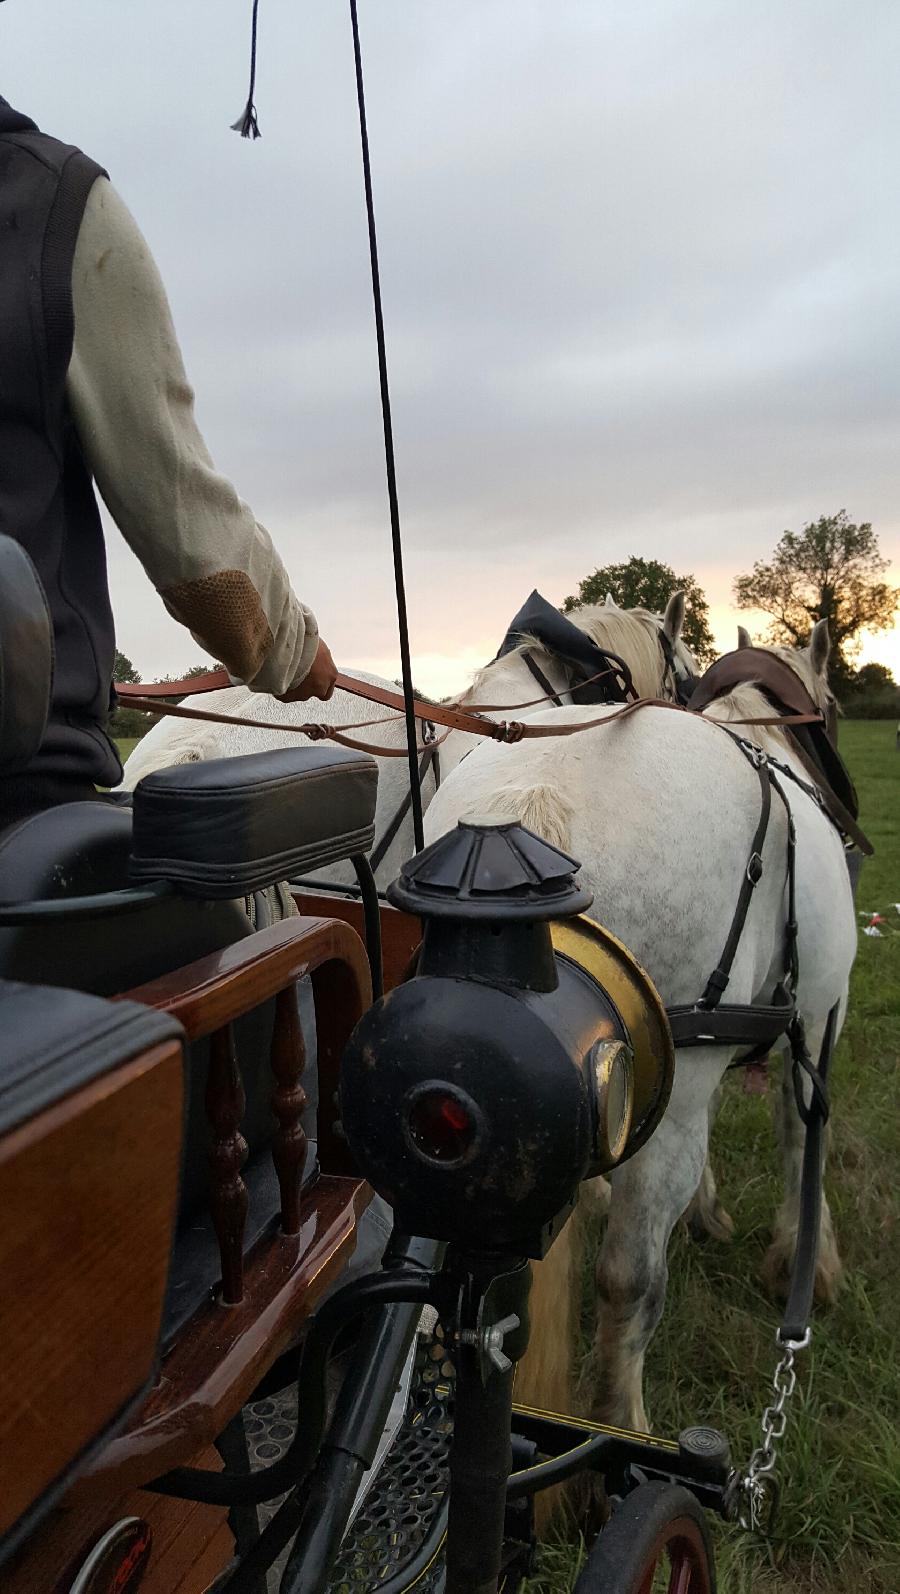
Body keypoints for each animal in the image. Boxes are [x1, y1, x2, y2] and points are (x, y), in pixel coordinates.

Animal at [417, 618, 853, 1434]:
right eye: (836, 703)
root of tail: (529, 807)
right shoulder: (818, 1016)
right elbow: (800, 1132)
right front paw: (806, 1261)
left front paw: (710, 1213)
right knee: (629, 1282)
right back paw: (622, 1426)